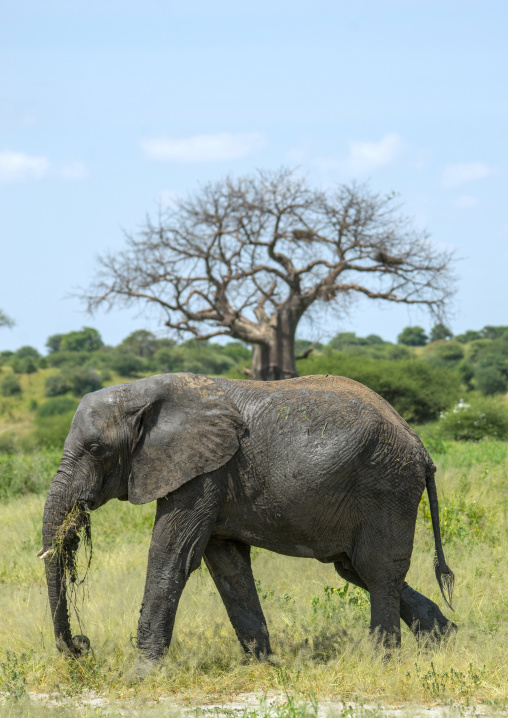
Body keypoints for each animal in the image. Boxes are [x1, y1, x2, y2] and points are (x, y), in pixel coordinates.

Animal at [40, 373, 455, 680]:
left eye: (96, 449)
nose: (82, 645)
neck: (142, 392)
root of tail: (421, 448)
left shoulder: (203, 471)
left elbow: (172, 555)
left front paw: (140, 677)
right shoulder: (211, 474)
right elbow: (228, 567)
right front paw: (264, 666)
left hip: (387, 486)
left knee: (377, 570)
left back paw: (382, 662)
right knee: (355, 568)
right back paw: (444, 640)